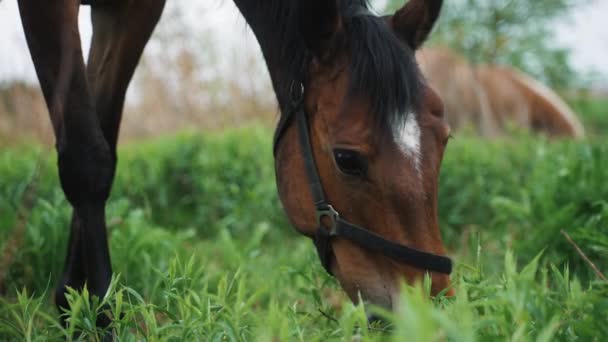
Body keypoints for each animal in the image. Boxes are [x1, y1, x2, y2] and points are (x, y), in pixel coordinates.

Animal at [16, 0, 454, 328]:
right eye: (347, 159)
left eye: (445, 138)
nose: (434, 311)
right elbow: (86, 160)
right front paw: (97, 318)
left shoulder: (130, 11)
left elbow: (102, 138)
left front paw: (75, 306)